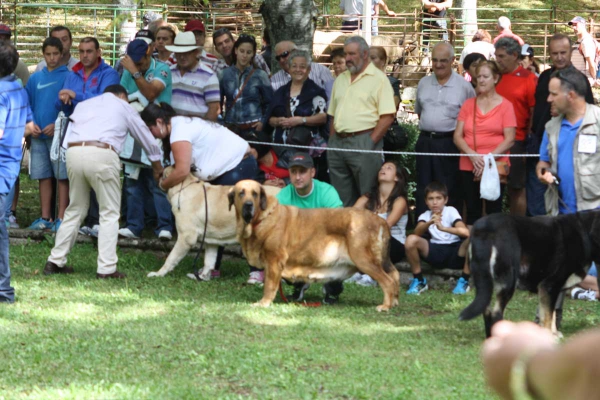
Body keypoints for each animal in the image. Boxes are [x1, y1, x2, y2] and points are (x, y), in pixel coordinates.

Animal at [227, 180, 400, 310]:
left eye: (255, 194)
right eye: (241, 193)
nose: (248, 204)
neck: (260, 219)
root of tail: (380, 220)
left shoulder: (273, 261)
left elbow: (269, 285)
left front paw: (263, 303)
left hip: (364, 260)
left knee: (387, 281)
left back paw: (385, 306)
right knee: (395, 276)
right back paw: (394, 302)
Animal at [460, 211, 600, 336]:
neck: (584, 232)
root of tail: (484, 228)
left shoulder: (554, 290)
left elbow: (552, 313)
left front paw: (554, 334)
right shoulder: (549, 285)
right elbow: (547, 317)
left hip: (486, 284)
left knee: (487, 312)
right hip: (508, 282)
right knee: (496, 314)